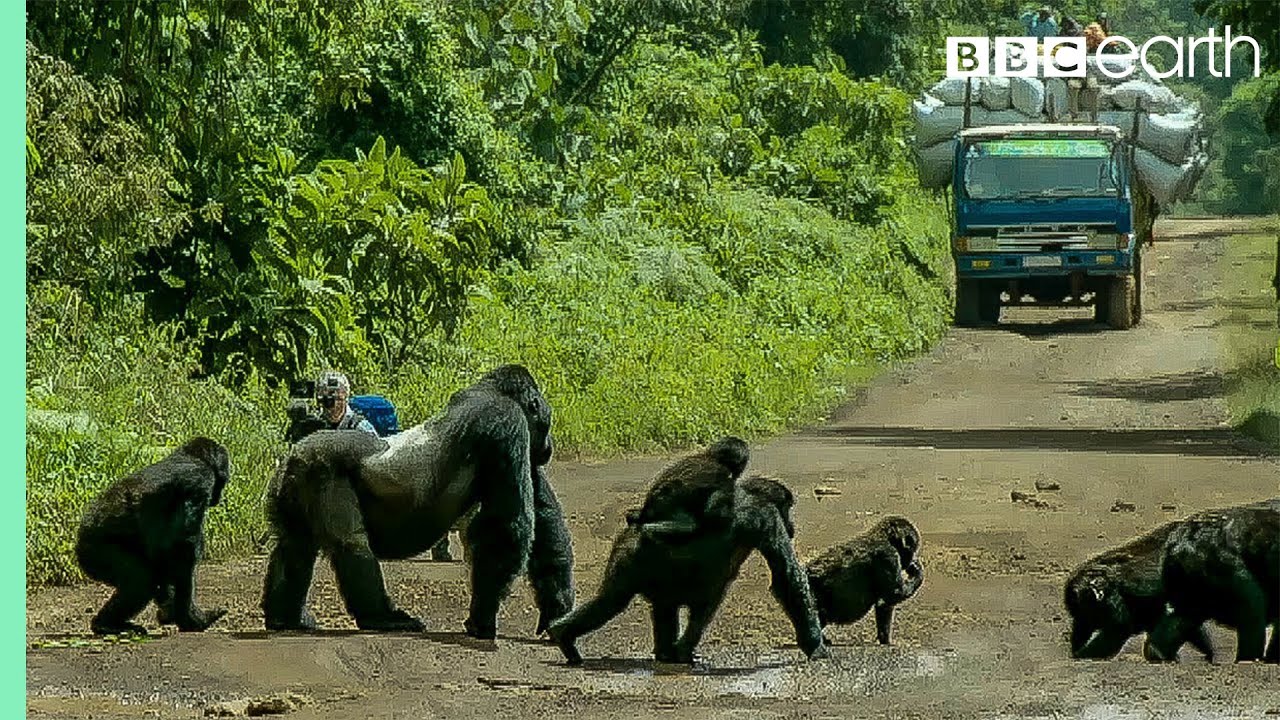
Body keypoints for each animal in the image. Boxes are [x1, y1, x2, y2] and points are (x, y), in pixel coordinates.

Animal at [75, 437, 231, 635]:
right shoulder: (199, 479)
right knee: (140, 580)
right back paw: (106, 624)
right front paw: (189, 617)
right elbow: (185, 544)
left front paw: (172, 610)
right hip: (96, 552)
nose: (218, 497)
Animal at [261, 365, 574, 639]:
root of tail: (291, 456)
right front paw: (482, 617)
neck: (493, 391)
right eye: (545, 423)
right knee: (351, 544)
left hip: (292, 482)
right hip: (320, 469)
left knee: (294, 546)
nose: (548, 448)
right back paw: (382, 618)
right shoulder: (506, 424)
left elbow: (542, 522)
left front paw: (557, 609)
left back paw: (286, 617)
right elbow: (507, 526)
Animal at [547, 475, 827, 665]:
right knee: (613, 601)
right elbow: (786, 576)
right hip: (630, 557)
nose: (792, 523)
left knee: (642, 604)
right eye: (787, 507)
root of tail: (634, 527)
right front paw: (816, 646)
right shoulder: (767, 518)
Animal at [805, 516, 924, 645]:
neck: (885, 537)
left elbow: (884, 605)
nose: (911, 559)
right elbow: (894, 594)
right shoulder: (888, 555)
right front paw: (918, 573)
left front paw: (885, 639)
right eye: (912, 547)